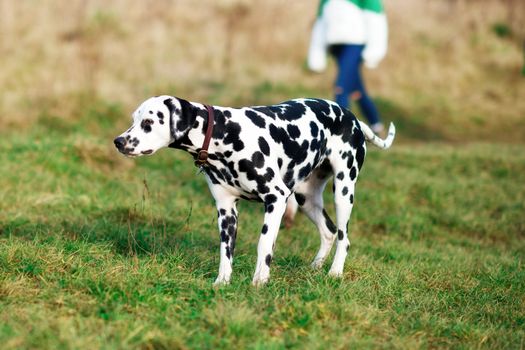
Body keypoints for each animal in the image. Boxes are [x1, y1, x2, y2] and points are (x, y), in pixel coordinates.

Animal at [114, 95, 392, 284]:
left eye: (148, 122)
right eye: (134, 119)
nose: (118, 141)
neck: (225, 133)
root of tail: (352, 117)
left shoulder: (276, 199)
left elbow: (264, 244)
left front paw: (260, 281)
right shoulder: (226, 211)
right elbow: (225, 251)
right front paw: (222, 283)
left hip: (344, 191)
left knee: (344, 237)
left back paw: (335, 272)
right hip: (306, 198)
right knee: (329, 231)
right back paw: (315, 267)